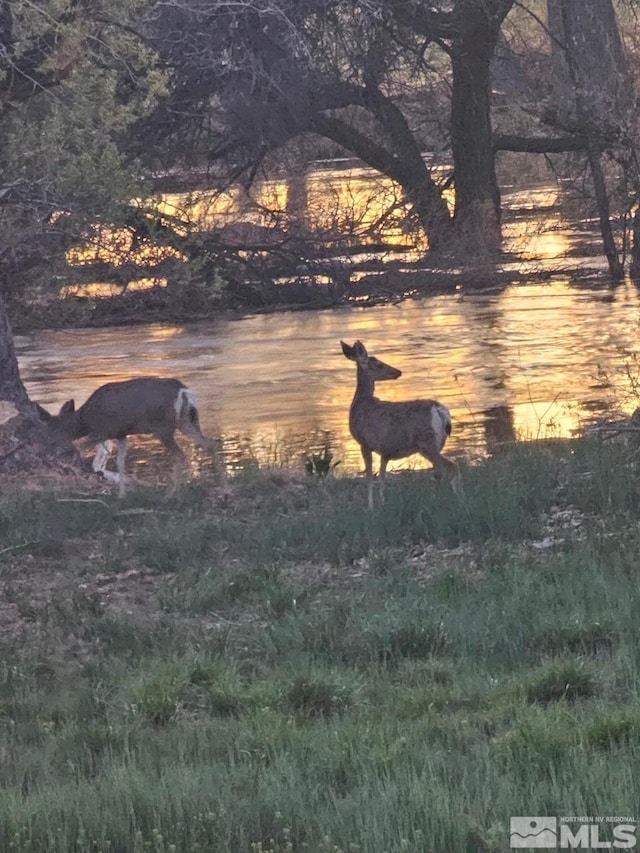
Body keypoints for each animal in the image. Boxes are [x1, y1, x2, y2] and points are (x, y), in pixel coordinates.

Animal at [46, 376, 219, 496]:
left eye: (54, 426)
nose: (51, 442)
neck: (84, 420)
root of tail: (183, 391)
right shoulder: (121, 434)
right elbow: (120, 463)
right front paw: (122, 495)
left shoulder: (103, 431)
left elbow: (82, 448)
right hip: (187, 421)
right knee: (210, 444)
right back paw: (221, 488)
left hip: (164, 427)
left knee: (181, 455)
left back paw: (171, 494)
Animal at [340, 340, 460, 510]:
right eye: (379, 364)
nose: (398, 372)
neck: (361, 403)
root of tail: (440, 410)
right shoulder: (385, 451)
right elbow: (382, 478)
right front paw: (383, 503)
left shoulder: (364, 443)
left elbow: (369, 478)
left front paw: (370, 507)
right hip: (435, 444)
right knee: (440, 471)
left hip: (427, 443)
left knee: (452, 467)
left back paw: (458, 500)